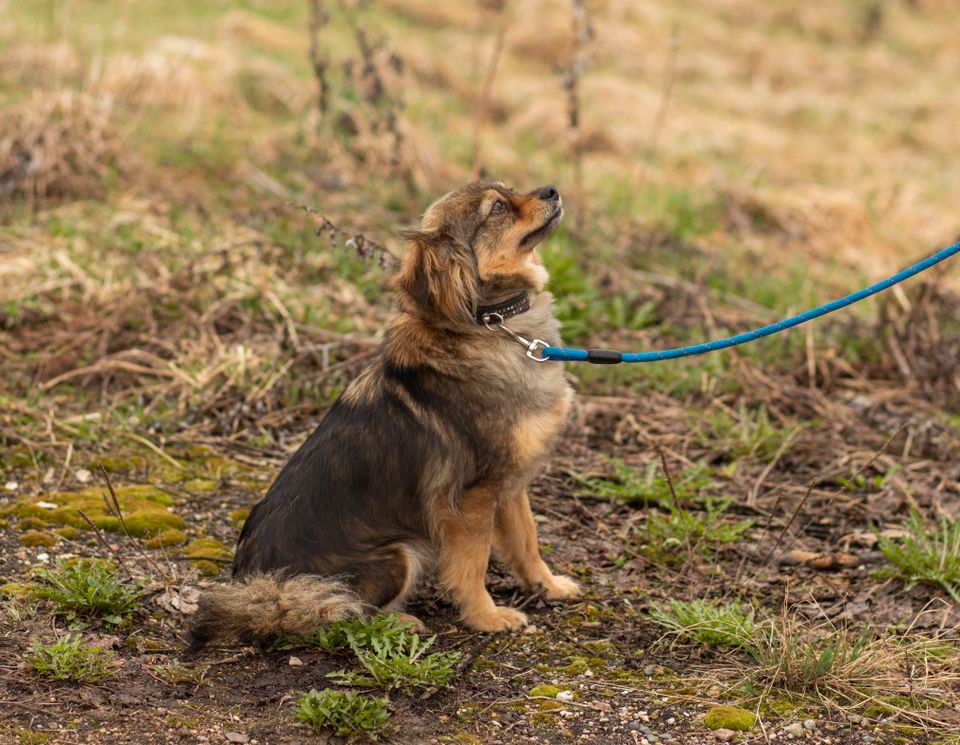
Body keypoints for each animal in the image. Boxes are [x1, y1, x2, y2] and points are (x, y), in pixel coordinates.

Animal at [186, 182, 576, 652]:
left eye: (511, 189)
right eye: (498, 207)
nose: (552, 189)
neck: (495, 323)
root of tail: (264, 588)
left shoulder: (510, 483)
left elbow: (527, 541)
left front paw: (548, 586)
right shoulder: (470, 496)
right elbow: (472, 564)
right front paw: (486, 617)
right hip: (397, 554)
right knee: (340, 611)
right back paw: (399, 622)